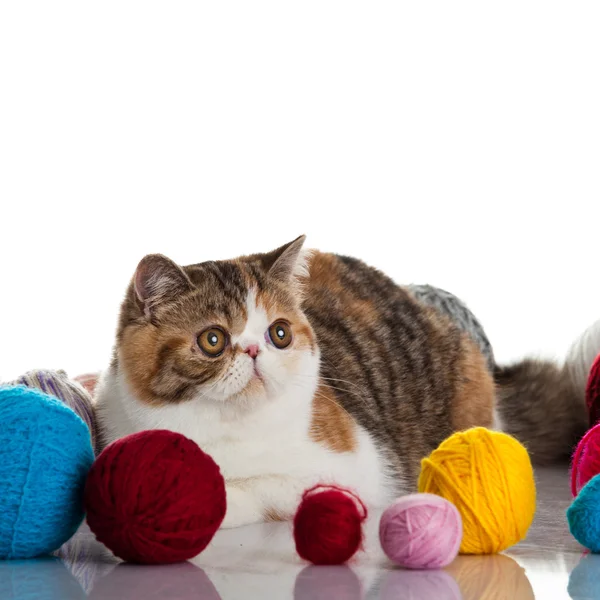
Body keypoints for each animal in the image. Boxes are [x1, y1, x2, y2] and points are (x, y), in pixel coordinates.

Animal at [96, 237, 588, 528]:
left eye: (279, 333)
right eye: (213, 340)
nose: (254, 352)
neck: (221, 427)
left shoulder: (355, 469)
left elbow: (261, 487)